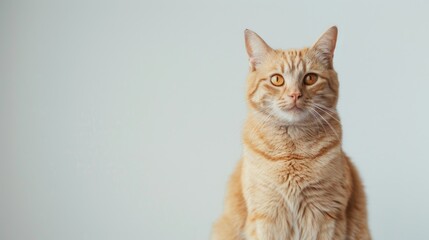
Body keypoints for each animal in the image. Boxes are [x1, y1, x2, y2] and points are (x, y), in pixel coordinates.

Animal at [212, 26, 370, 240]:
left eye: (310, 78)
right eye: (277, 79)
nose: (295, 94)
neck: (292, 150)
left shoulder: (326, 215)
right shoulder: (265, 213)